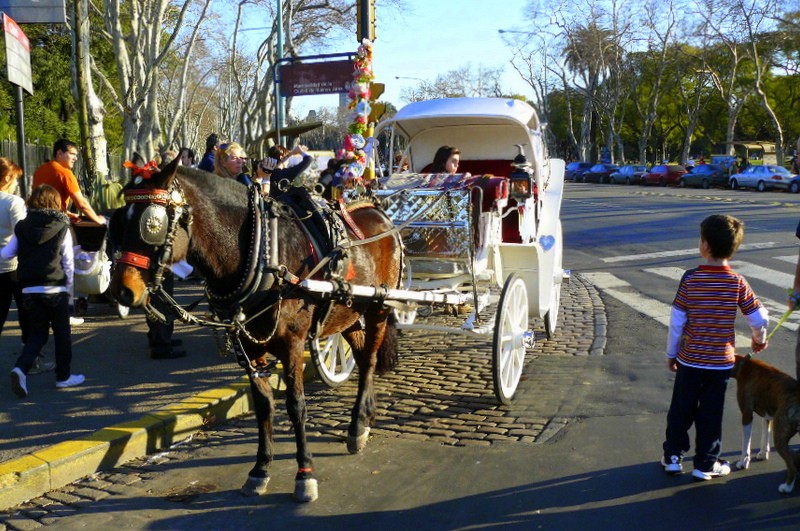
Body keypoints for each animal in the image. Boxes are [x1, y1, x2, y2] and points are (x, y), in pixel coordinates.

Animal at [109, 157, 404, 502]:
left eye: (152, 224)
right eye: (119, 222)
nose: (122, 291)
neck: (264, 255)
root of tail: (378, 211)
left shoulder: (292, 343)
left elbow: (296, 406)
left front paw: (305, 474)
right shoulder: (248, 347)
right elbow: (264, 406)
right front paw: (260, 470)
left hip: (379, 307)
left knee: (369, 359)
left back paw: (357, 426)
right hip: (348, 312)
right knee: (359, 352)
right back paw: (366, 417)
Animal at [732, 356, 800, 496]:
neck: (743, 365)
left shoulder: (746, 415)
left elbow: (746, 443)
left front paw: (743, 462)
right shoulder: (767, 414)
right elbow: (765, 435)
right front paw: (763, 454)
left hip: (779, 436)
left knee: (791, 463)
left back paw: (787, 487)